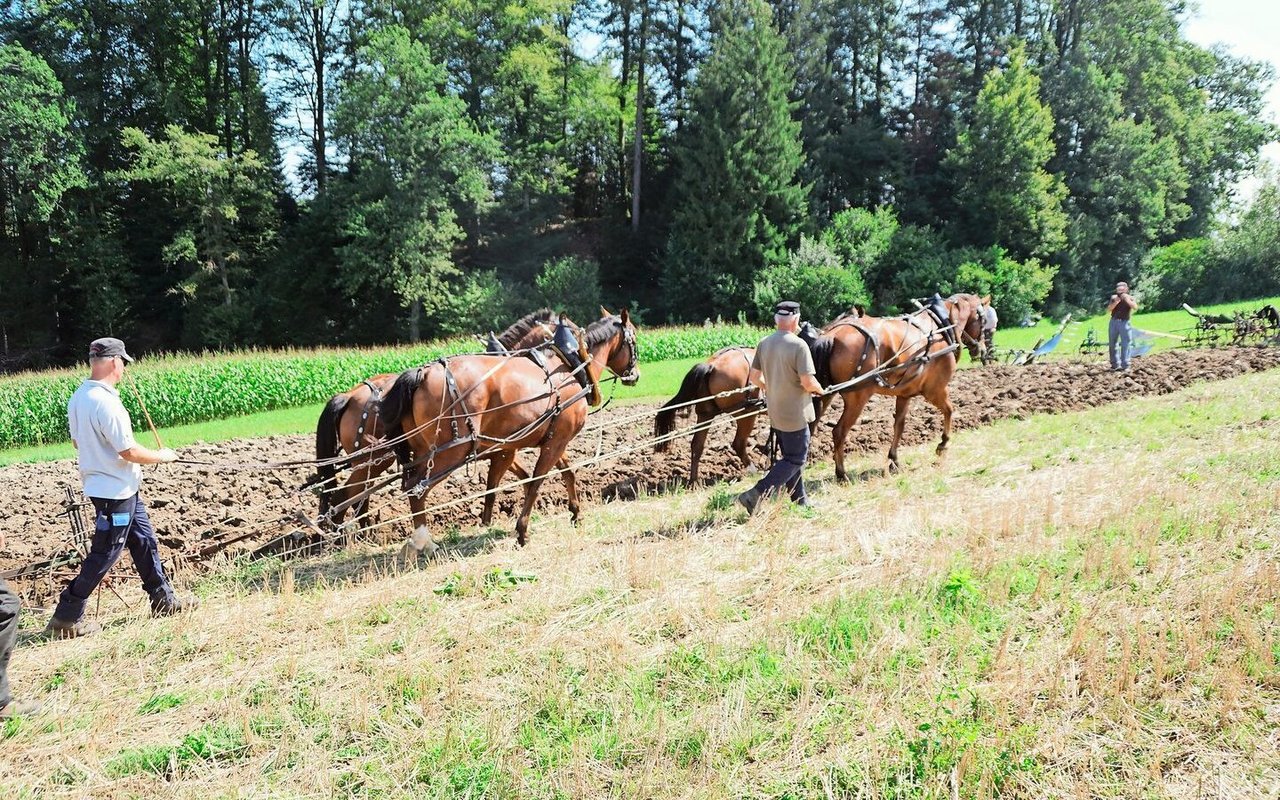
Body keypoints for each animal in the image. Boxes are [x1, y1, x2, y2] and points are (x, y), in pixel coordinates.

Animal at [378, 307, 640, 555]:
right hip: (451, 451)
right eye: (635, 339)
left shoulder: (542, 440)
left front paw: (576, 513)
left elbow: (566, 473)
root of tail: (423, 374)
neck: (569, 368)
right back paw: (423, 541)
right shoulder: (550, 442)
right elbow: (535, 482)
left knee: (410, 485)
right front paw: (522, 531)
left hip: (425, 450)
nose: (635, 375)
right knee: (416, 489)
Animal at [650, 345, 757, 483]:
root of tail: (712, 365)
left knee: (697, 445)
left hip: (705, 414)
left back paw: (694, 481)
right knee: (739, 443)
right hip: (747, 413)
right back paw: (754, 471)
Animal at [808, 294, 988, 476]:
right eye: (984, 320)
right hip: (857, 397)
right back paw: (841, 474)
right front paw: (942, 445)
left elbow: (899, 425)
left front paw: (894, 459)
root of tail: (832, 335)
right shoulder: (935, 390)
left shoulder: (904, 395)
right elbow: (949, 410)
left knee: (811, 428)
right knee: (839, 431)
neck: (942, 326)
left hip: (825, 394)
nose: (981, 350)